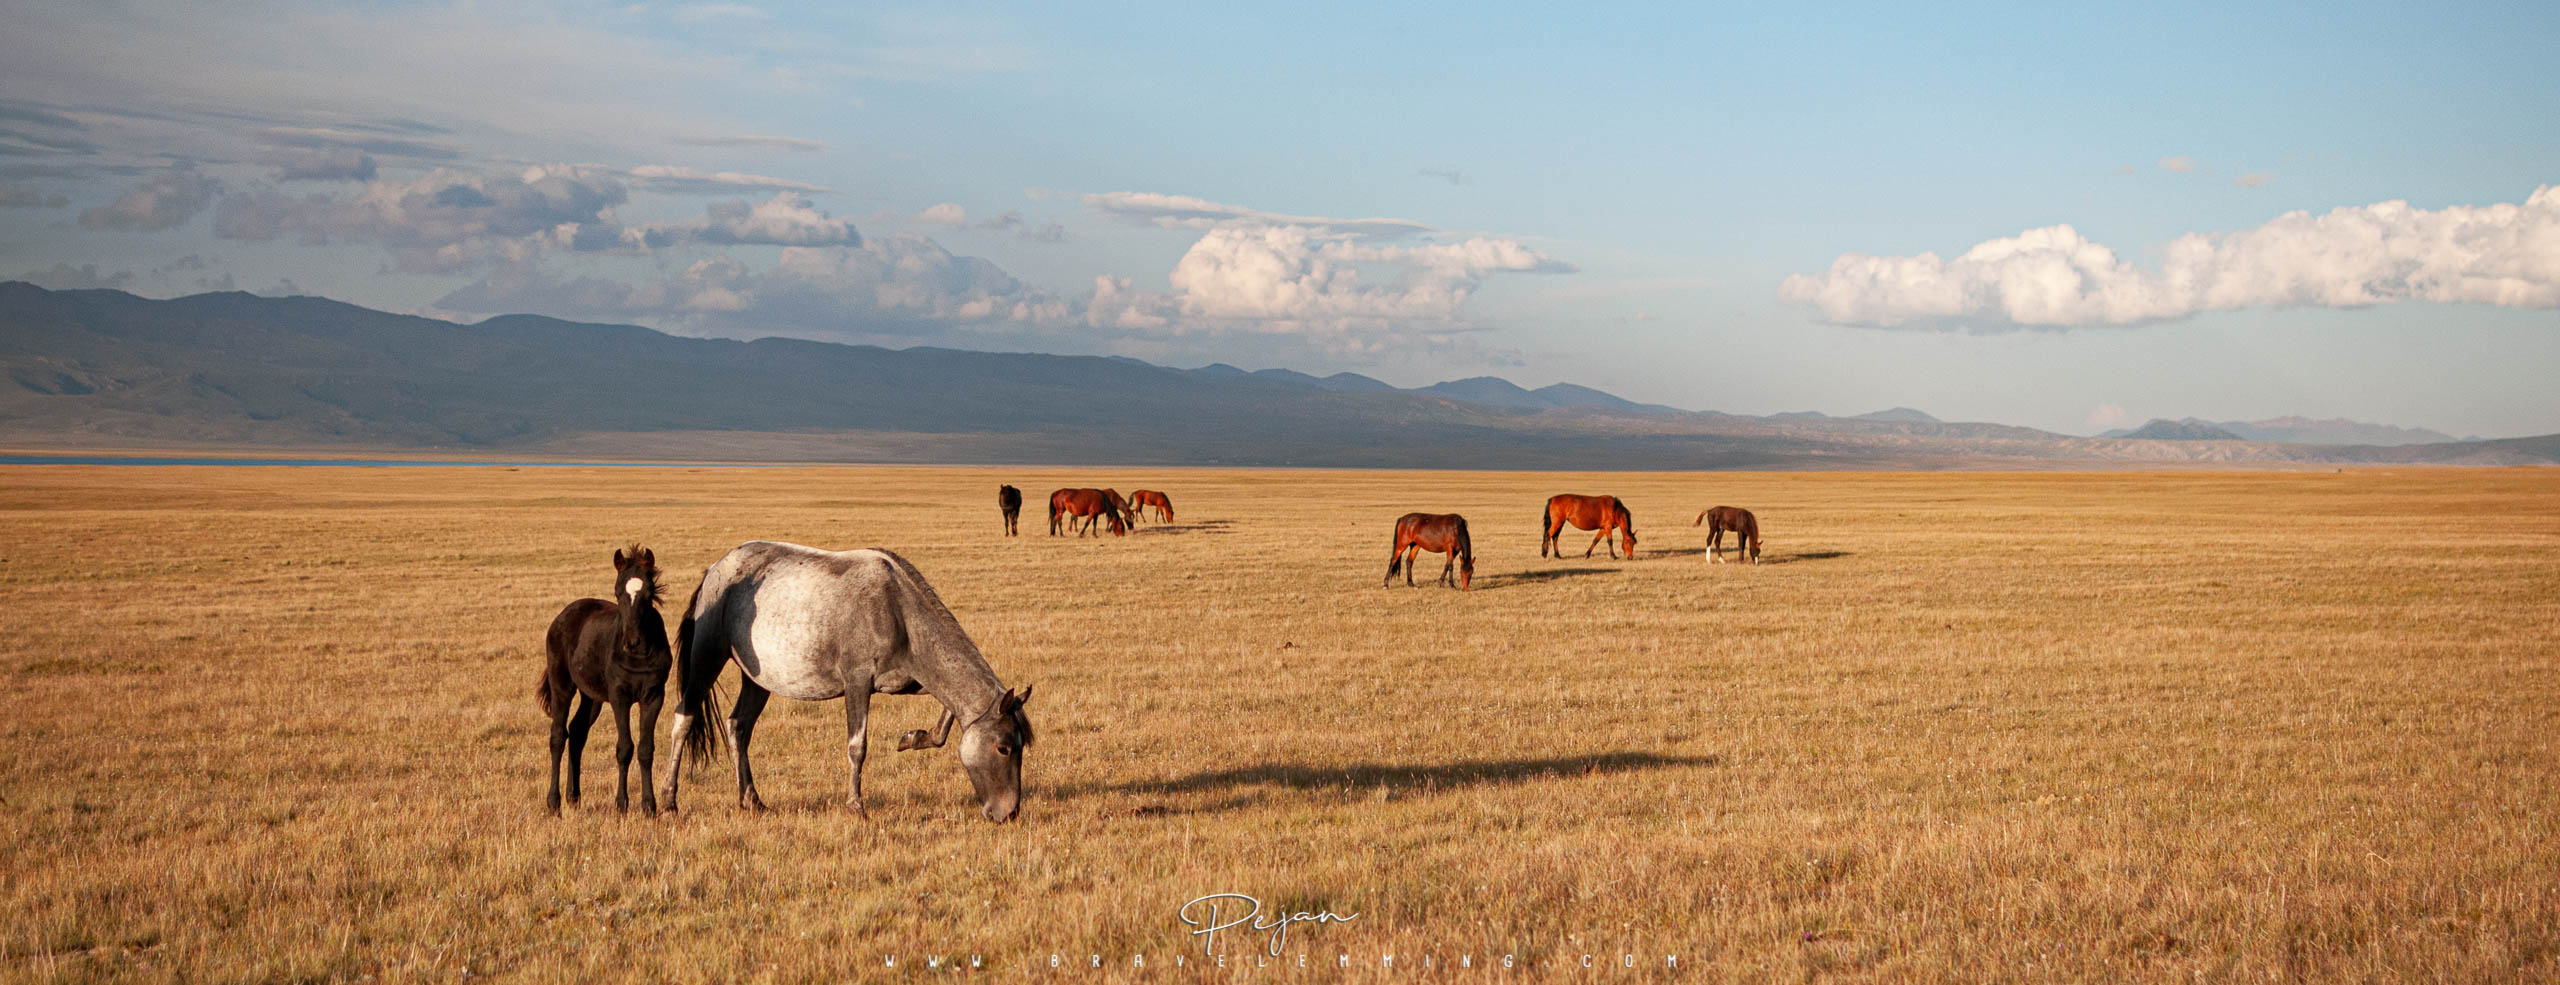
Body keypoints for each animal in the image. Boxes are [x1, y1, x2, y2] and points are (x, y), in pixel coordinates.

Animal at [535, 544, 670, 813]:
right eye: (617, 593)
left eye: (648, 594)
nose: (632, 642)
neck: (639, 655)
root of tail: (563, 615)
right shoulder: (620, 697)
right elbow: (625, 748)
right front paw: (622, 805)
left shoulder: (654, 696)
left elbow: (646, 749)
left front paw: (649, 806)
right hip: (561, 685)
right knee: (558, 736)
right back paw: (554, 802)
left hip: (592, 697)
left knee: (577, 732)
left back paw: (573, 797)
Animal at [660, 542, 1039, 818]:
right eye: (1004, 748)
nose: (1010, 813)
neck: (898, 611)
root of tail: (715, 569)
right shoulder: (857, 683)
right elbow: (858, 747)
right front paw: (856, 805)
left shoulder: (921, 681)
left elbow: (944, 724)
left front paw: (912, 738)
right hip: (707, 658)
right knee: (684, 719)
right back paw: (667, 800)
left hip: (758, 679)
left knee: (738, 726)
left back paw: (750, 799)